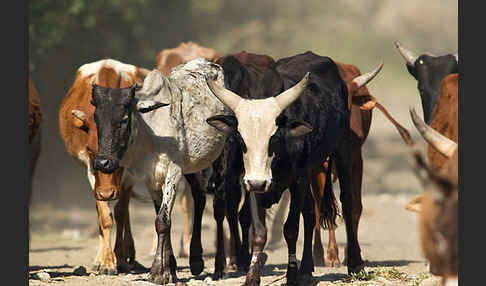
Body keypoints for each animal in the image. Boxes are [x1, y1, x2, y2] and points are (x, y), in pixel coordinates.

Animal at [58, 58, 148, 274]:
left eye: (122, 150)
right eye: (91, 151)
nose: (107, 193)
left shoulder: (130, 172)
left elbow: (121, 212)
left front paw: (120, 257)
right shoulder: (90, 170)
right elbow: (105, 216)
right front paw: (106, 262)